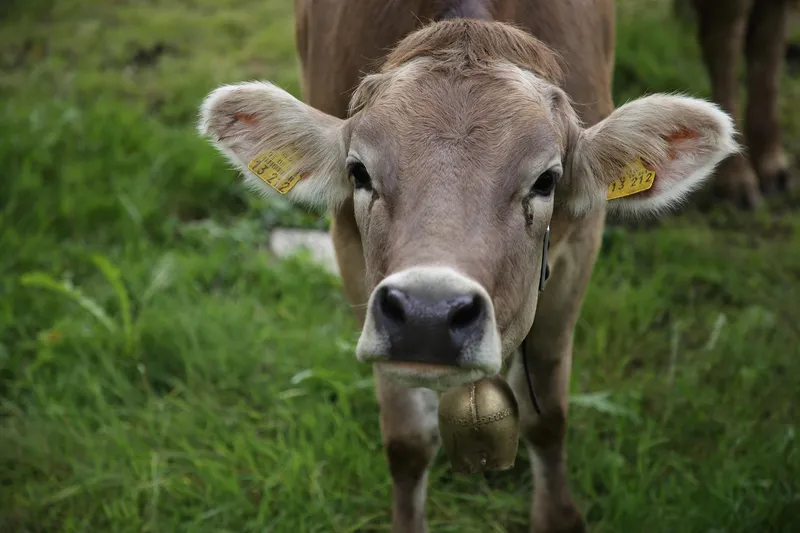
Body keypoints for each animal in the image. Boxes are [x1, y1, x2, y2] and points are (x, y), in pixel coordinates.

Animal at [197, 1, 738, 531]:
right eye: (358, 172)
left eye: (546, 180)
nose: (427, 315)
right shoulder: (349, 251)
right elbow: (407, 441)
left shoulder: (580, 247)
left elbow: (548, 416)